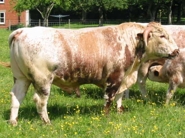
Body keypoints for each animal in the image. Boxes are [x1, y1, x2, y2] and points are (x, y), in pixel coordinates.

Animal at [7, 22, 178, 125]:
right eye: (162, 36)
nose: (177, 51)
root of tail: (22, 31)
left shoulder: (123, 78)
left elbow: (119, 96)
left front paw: (119, 111)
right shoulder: (114, 77)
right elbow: (109, 98)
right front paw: (107, 116)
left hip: (21, 78)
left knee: (17, 97)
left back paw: (13, 121)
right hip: (43, 80)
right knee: (40, 101)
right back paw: (47, 122)